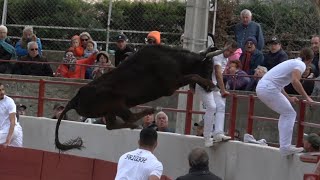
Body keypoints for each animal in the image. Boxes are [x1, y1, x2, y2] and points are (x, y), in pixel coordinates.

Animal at [55, 45, 225, 150]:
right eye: (209, 67)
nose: (209, 88)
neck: (173, 58)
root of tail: (75, 98)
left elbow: (193, 75)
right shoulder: (171, 85)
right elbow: (193, 75)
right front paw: (210, 84)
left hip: (110, 110)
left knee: (111, 125)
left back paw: (135, 125)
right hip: (116, 103)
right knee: (128, 117)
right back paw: (150, 111)